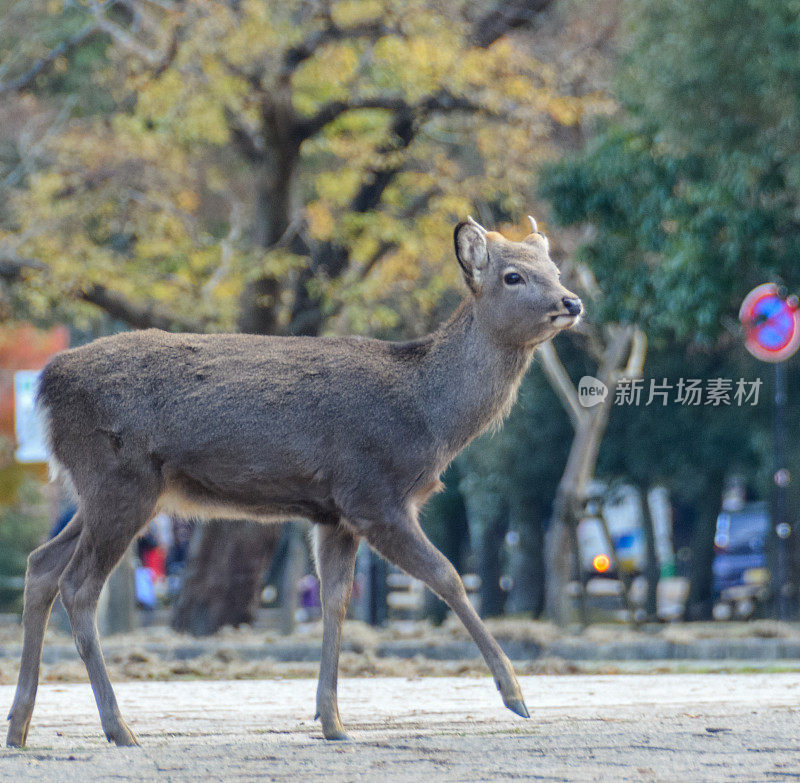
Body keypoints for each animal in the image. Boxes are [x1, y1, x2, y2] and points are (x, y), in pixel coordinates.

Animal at [6, 214, 580, 748]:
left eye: (553, 268)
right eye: (512, 275)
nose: (572, 302)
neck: (429, 420)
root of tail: (47, 385)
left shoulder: (334, 514)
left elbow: (335, 601)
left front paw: (332, 721)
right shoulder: (373, 493)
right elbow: (448, 576)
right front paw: (516, 696)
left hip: (100, 492)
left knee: (41, 564)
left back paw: (19, 726)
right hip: (120, 482)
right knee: (78, 585)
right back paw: (118, 728)